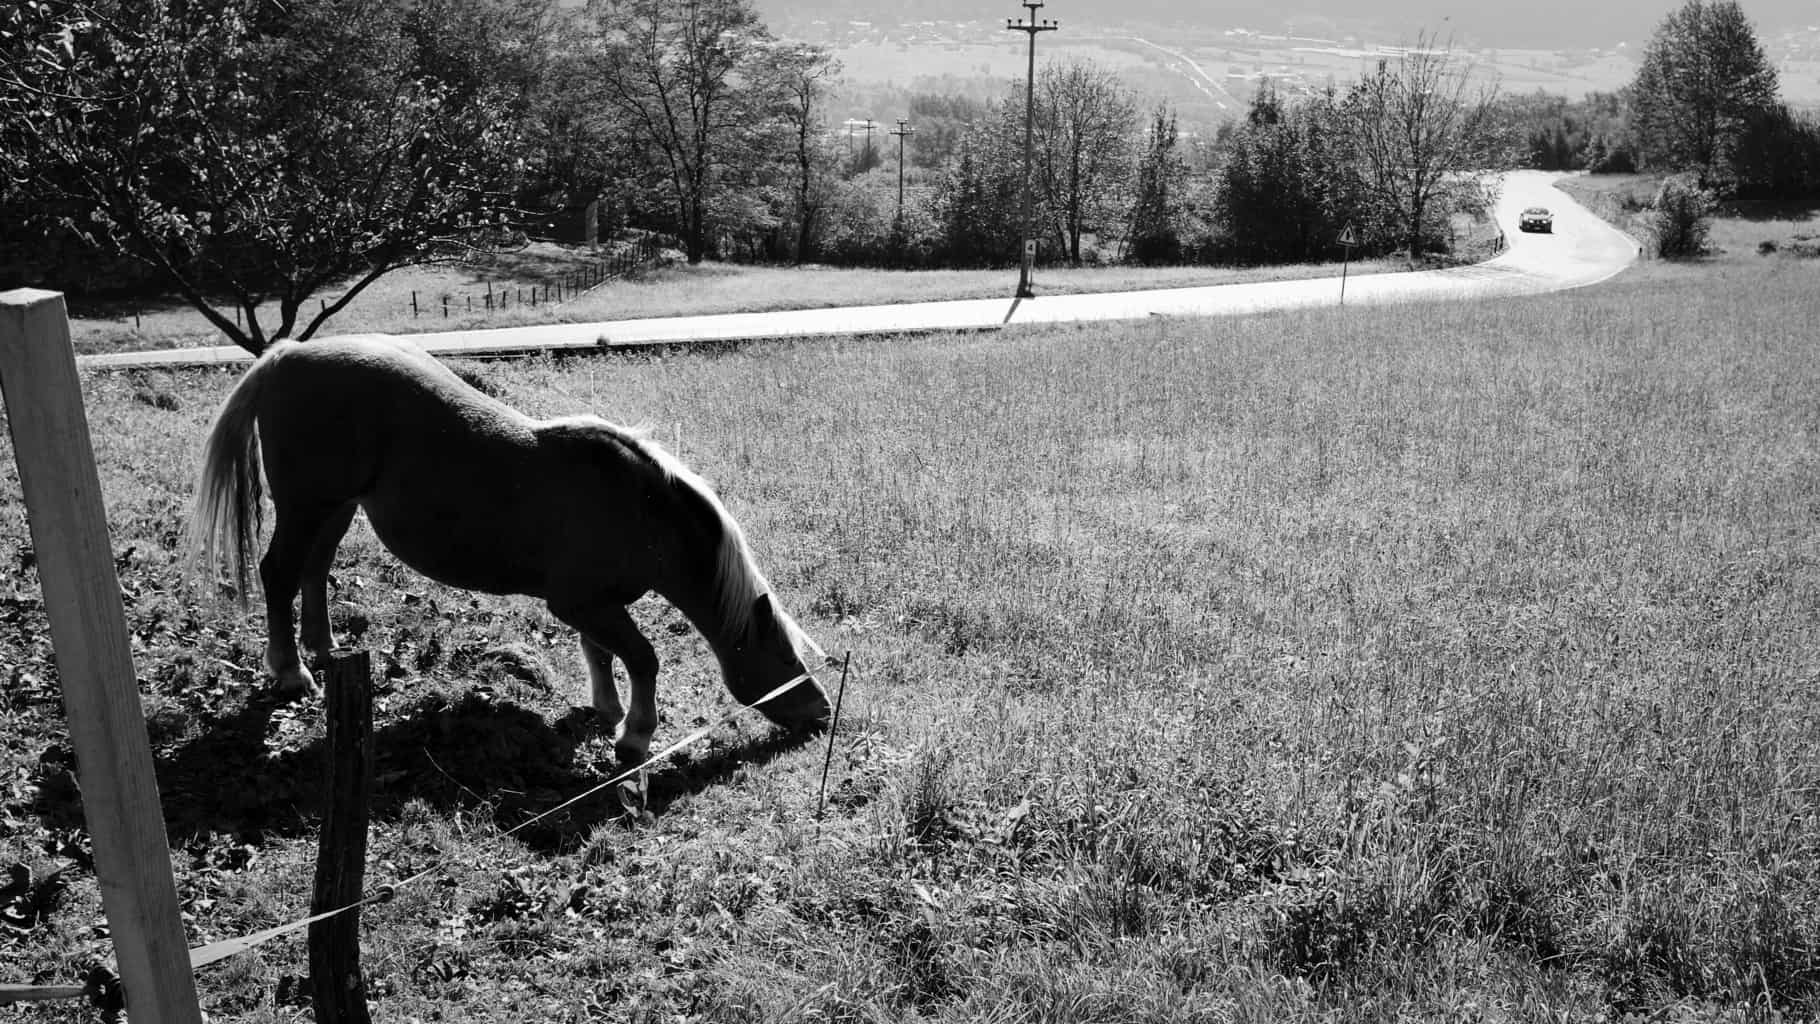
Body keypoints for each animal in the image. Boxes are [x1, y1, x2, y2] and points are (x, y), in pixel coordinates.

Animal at [186, 336, 833, 760]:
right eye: (784, 660)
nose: (822, 712)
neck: (639, 506)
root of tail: (285, 354)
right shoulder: (580, 602)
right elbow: (643, 658)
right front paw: (635, 734)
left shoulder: (594, 606)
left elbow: (601, 651)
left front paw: (606, 710)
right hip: (307, 505)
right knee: (279, 573)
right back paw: (292, 673)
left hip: (335, 508)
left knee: (314, 571)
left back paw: (323, 648)